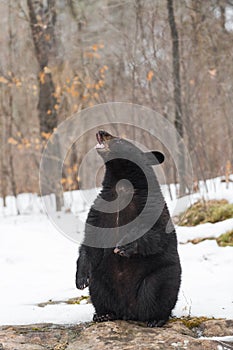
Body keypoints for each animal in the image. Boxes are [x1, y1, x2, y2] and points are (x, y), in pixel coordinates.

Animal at [75, 130, 181, 326]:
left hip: (160, 275)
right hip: (102, 280)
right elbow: (90, 240)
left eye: (117, 139)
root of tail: (128, 312)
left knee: (157, 291)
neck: (122, 186)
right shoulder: (100, 210)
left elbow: (157, 234)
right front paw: (81, 280)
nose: (100, 131)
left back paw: (156, 319)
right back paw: (103, 314)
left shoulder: (152, 207)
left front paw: (125, 246)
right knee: (99, 290)